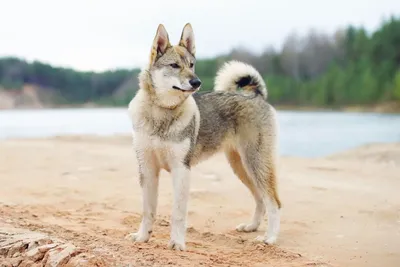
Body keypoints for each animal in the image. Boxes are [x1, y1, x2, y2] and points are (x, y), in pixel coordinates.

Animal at [127, 23, 282, 251]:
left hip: (256, 164)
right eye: (174, 65)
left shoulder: (181, 170)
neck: (161, 113)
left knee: (273, 202)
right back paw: (252, 227)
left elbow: (178, 214)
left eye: (191, 65)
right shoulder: (147, 169)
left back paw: (270, 238)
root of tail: (255, 95)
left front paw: (177, 243)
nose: (196, 82)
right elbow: (148, 210)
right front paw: (142, 237)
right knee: (260, 199)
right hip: (242, 168)